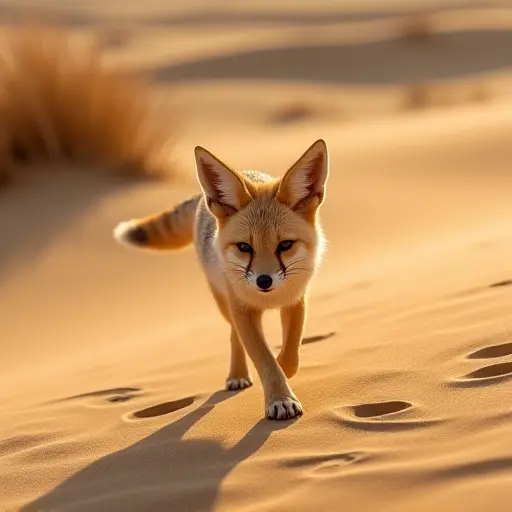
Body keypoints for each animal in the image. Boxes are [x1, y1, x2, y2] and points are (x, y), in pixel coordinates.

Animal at [114, 140, 330, 420]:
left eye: (285, 245)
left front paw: (284, 367)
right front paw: (280, 398)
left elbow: (291, 352)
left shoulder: (296, 301)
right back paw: (237, 375)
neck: (269, 299)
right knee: (232, 334)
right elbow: (265, 360)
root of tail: (201, 201)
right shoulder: (243, 311)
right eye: (244, 247)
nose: (263, 281)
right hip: (223, 302)